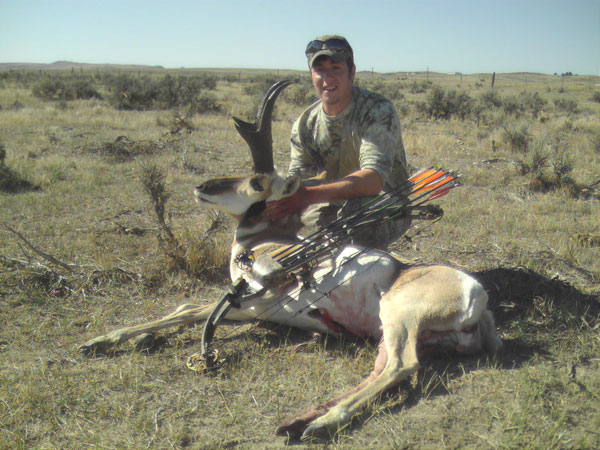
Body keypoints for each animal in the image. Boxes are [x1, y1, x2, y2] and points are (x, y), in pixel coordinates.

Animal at [79, 80, 502, 440]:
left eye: (256, 182)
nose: (202, 186)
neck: (266, 241)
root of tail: (476, 295)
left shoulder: (249, 296)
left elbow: (186, 310)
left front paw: (99, 339)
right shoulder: (245, 307)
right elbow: (184, 310)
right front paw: (112, 339)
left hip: (398, 314)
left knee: (402, 365)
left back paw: (321, 424)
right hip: (392, 331)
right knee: (384, 367)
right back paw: (297, 422)